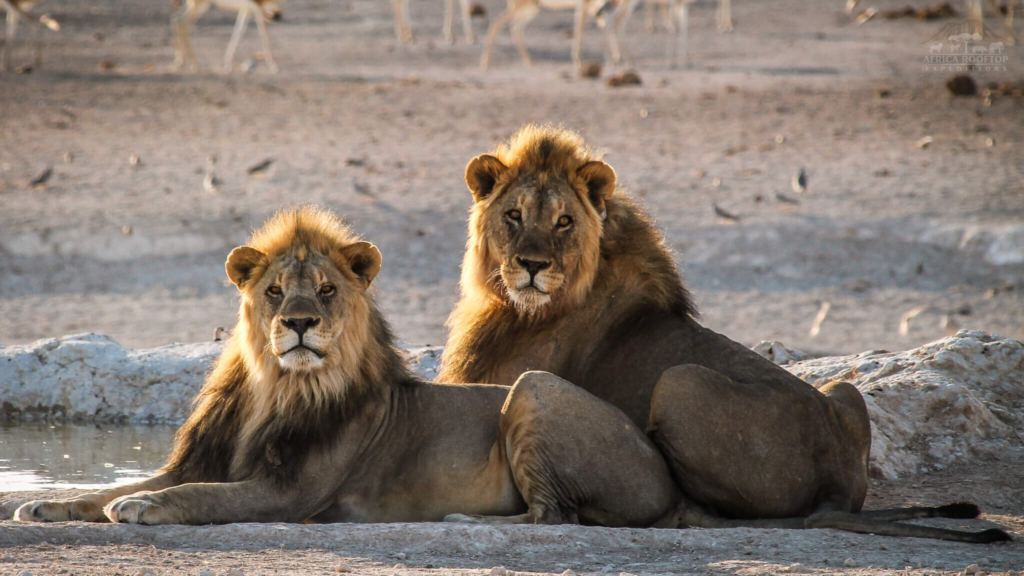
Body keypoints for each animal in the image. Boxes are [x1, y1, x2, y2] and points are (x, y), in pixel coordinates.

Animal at [12, 204, 684, 524]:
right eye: (275, 292)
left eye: (327, 290)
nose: (299, 323)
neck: (274, 388)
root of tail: (664, 468)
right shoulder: (200, 460)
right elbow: (114, 485)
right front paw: (47, 503)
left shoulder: (290, 493)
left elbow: (203, 497)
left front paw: (145, 509)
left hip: (533, 389)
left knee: (553, 515)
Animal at [438, 123, 1007, 541]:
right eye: (514, 215)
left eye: (563, 222)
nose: (533, 265)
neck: (520, 306)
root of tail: (833, 487)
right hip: (844, 391)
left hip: (679, 381)